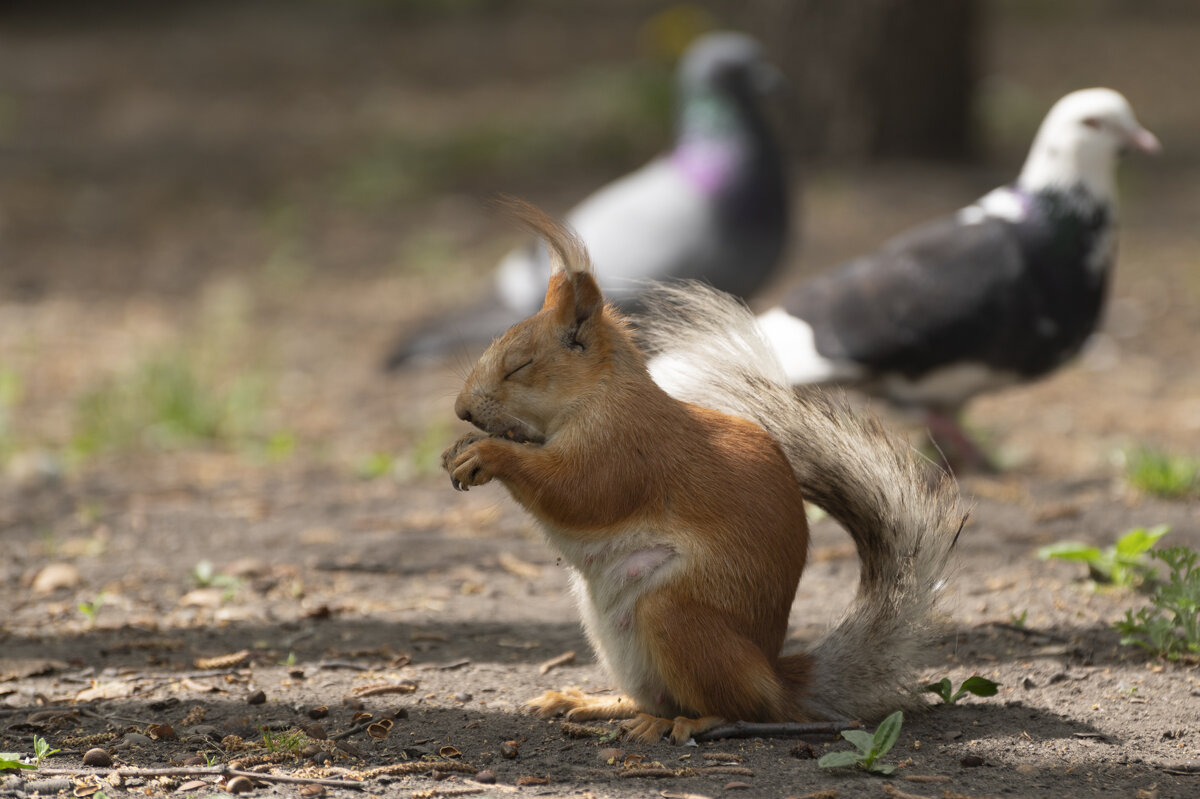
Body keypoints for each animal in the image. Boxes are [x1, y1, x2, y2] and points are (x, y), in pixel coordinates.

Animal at [444, 197, 964, 739]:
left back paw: (686, 723)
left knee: (733, 707)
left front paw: (488, 455)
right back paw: (593, 702)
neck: (601, 395)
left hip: (676, 617)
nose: (462, 410)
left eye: (519, 366)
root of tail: (774, 676)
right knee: (655, 698)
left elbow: (579, 492)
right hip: (612, 634)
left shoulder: (628, 450)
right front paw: (462, 446)